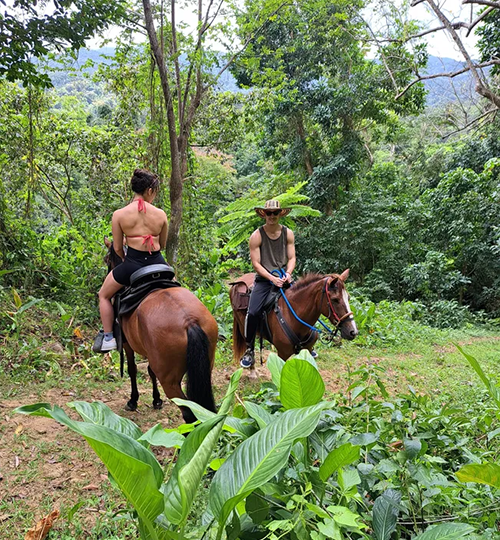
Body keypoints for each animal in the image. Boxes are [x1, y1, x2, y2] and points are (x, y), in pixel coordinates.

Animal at [104, 239, 218, 422]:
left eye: (107, 259)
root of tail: (189, 321)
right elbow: (150, 371)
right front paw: (156, 400)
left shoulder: (128, 345)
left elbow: (132, 369)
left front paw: (133, 400)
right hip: (206, 367)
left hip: (170, 381)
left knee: (189, 412)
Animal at [231, 270, 360, 376]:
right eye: (335, 300)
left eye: (348, 298)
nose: (352, 331)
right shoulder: (282, 354)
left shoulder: (307, 351)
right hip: (243, 326)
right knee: (250, 342)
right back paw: (251, 369)